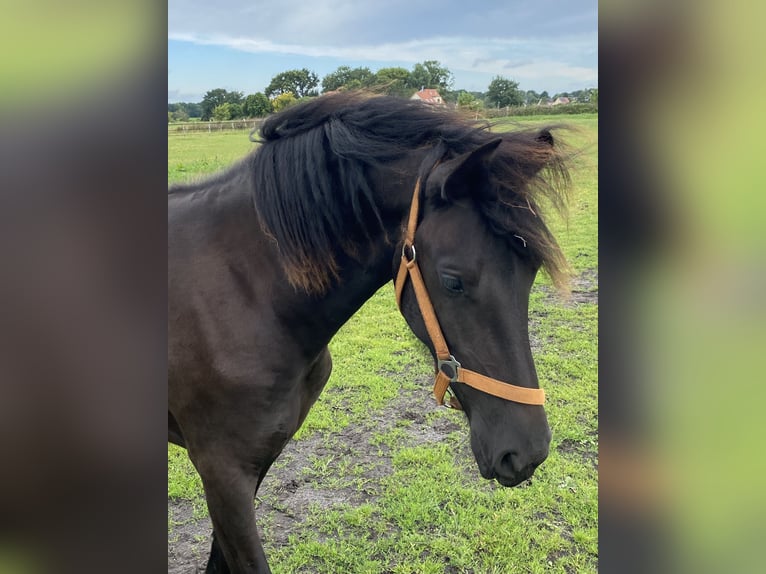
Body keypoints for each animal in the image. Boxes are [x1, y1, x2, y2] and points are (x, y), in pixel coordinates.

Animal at [171, 92, 572, 572]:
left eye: (531, 273)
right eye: (453, 281)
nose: (527, 453)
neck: (241, 293)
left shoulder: (253, 465)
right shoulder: (222, 470)